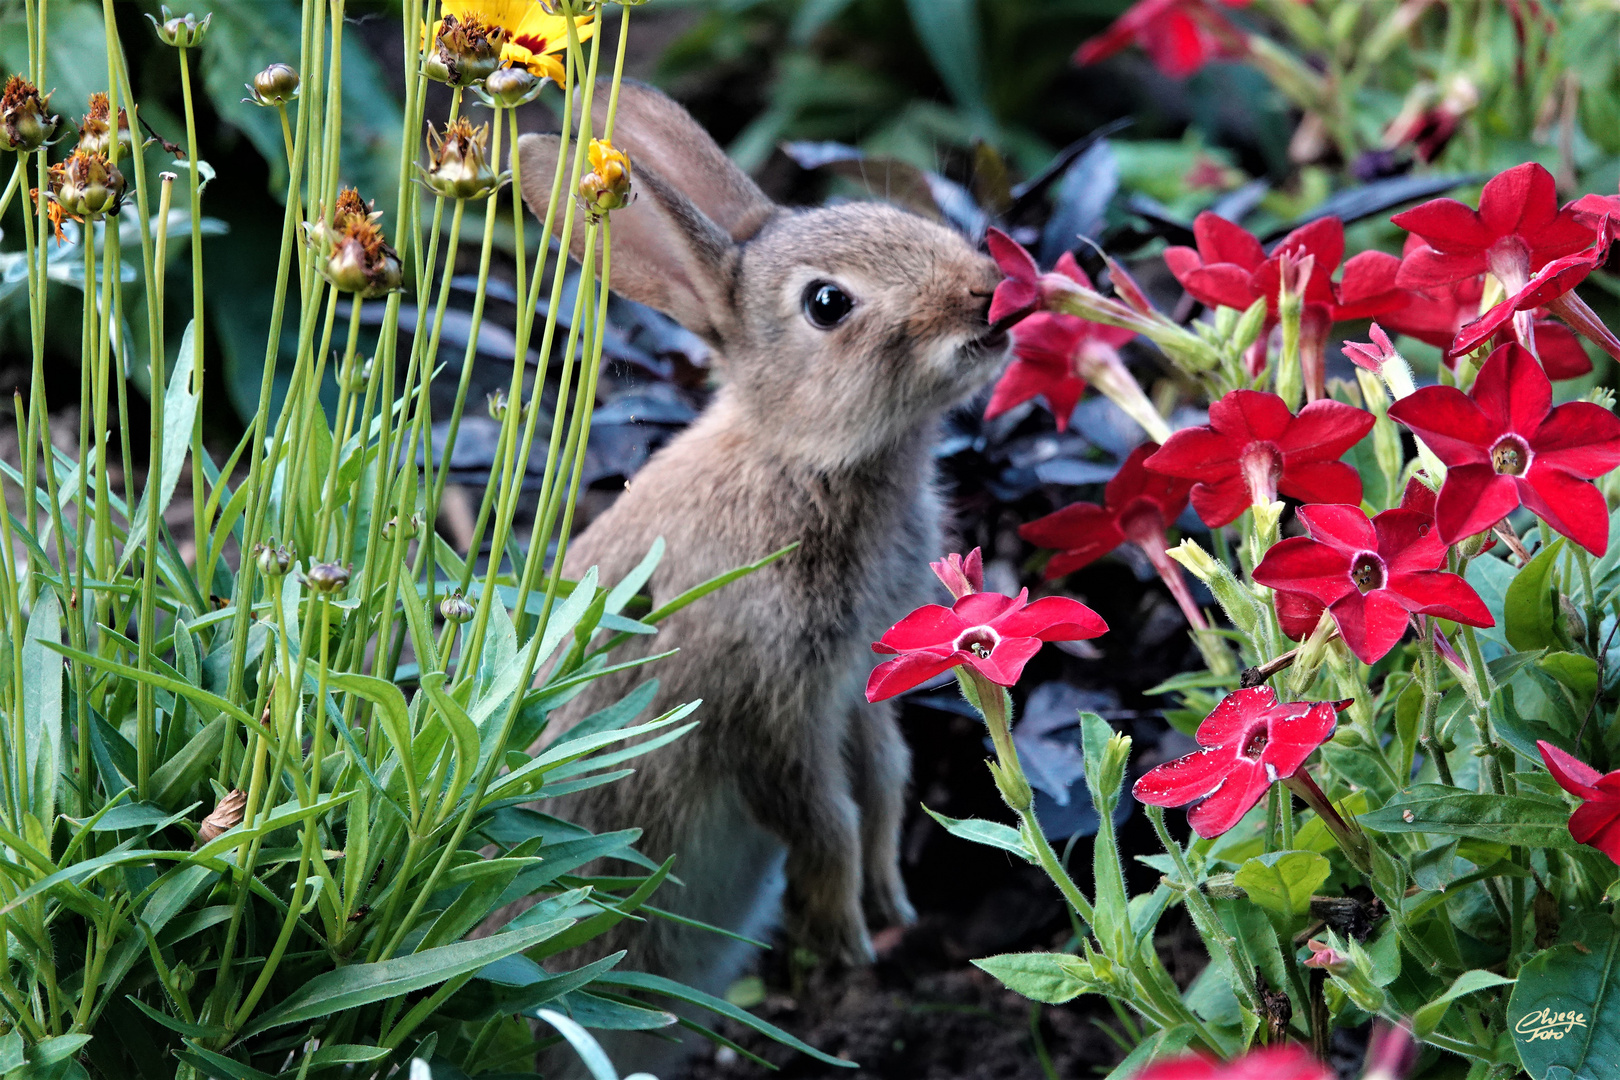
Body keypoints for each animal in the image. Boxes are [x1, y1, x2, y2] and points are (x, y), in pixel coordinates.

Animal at [511, 80, 1004, 1062]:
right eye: (827, 304)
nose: (985, 292)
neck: (802, 457)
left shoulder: (856, 682)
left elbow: (885, 779)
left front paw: (891, 899)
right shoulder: (765, 699)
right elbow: (823, 816)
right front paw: (850, 935)